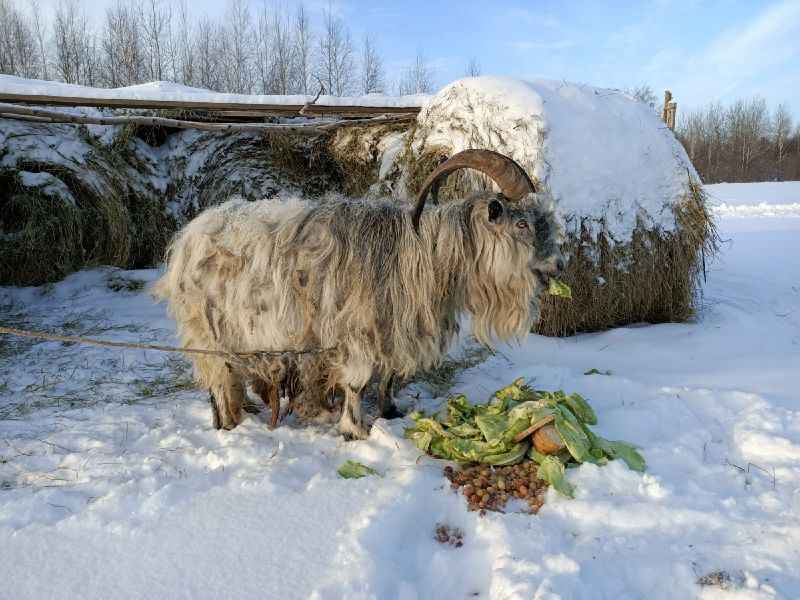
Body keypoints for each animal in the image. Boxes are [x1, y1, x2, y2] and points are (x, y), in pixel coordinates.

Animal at [155, 149, 564, 440]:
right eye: (521, 223)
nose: (559, 265)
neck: (422, 254)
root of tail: (185, 239)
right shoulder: (355, 335)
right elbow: (356, 383)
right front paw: (356, 429)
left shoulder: (392, 331)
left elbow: (388, 377)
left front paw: (391, 412)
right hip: (210, 336)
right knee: (219, 383)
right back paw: (229, 425)